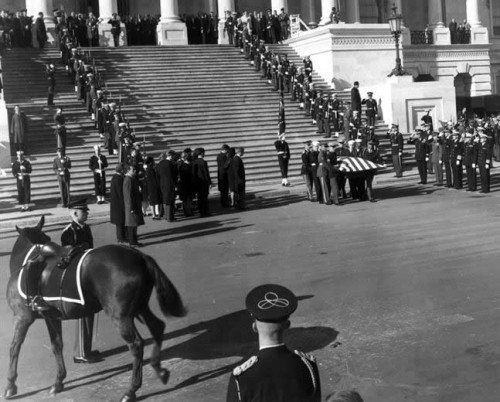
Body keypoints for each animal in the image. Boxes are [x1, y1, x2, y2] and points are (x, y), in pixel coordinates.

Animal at [3, 217, 188, 402]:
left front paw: (11, 385)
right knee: (157, 327)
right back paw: (159, 369)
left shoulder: (22, 317)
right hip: (140, 307)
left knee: (136, 345)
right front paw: (58, 381)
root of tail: (139, 256)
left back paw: (131, 390)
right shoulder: (51, 318)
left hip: (120, 316)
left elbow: (14, 347)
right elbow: (56, 346)